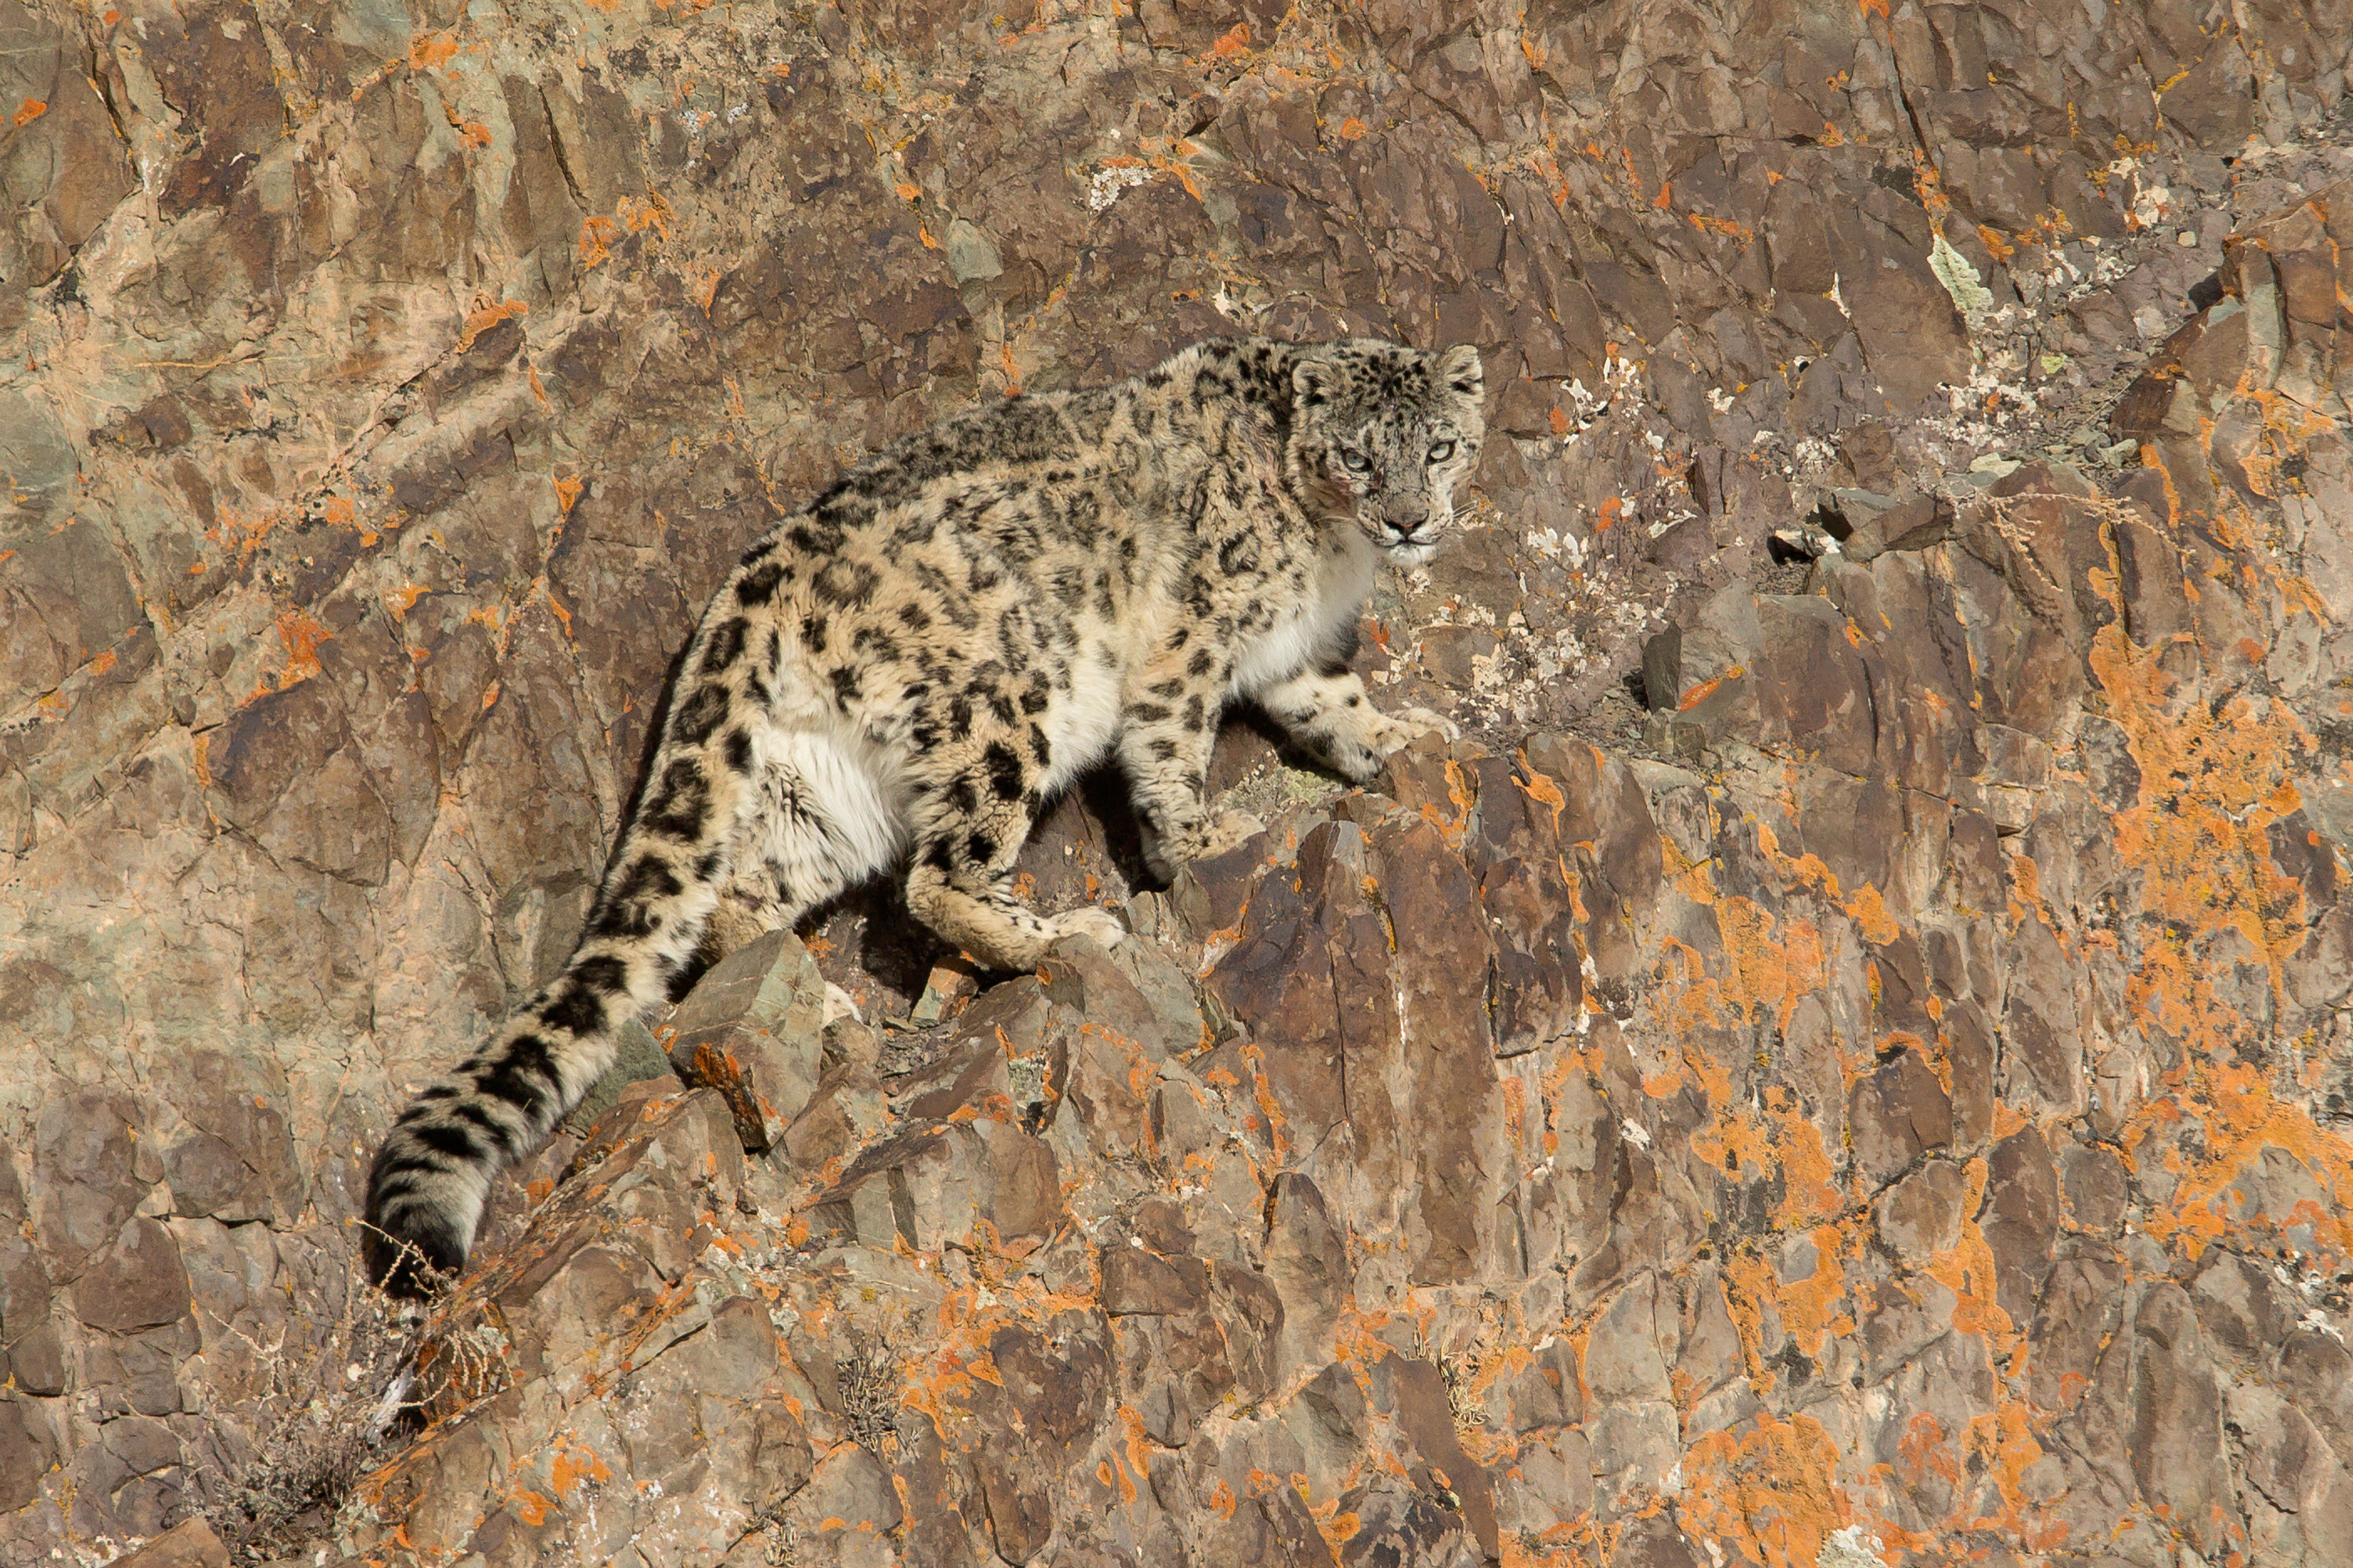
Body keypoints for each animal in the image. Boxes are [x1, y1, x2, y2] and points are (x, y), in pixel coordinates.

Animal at [359, 333, 1477, 1298]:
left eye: (1439, 446)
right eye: (1357, 457)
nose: (1408, 521)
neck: (1328, 551)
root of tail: (756, 582)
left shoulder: (1298, 651)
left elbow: (1334, 703)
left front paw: (1406, 735)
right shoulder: (1191, 638)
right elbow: (1168, 749)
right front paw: (1202, 841)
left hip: (817, 791)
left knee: (743, 894)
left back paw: (826, 1004)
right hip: (1005, 702)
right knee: (937, 877)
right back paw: (1057, 934)